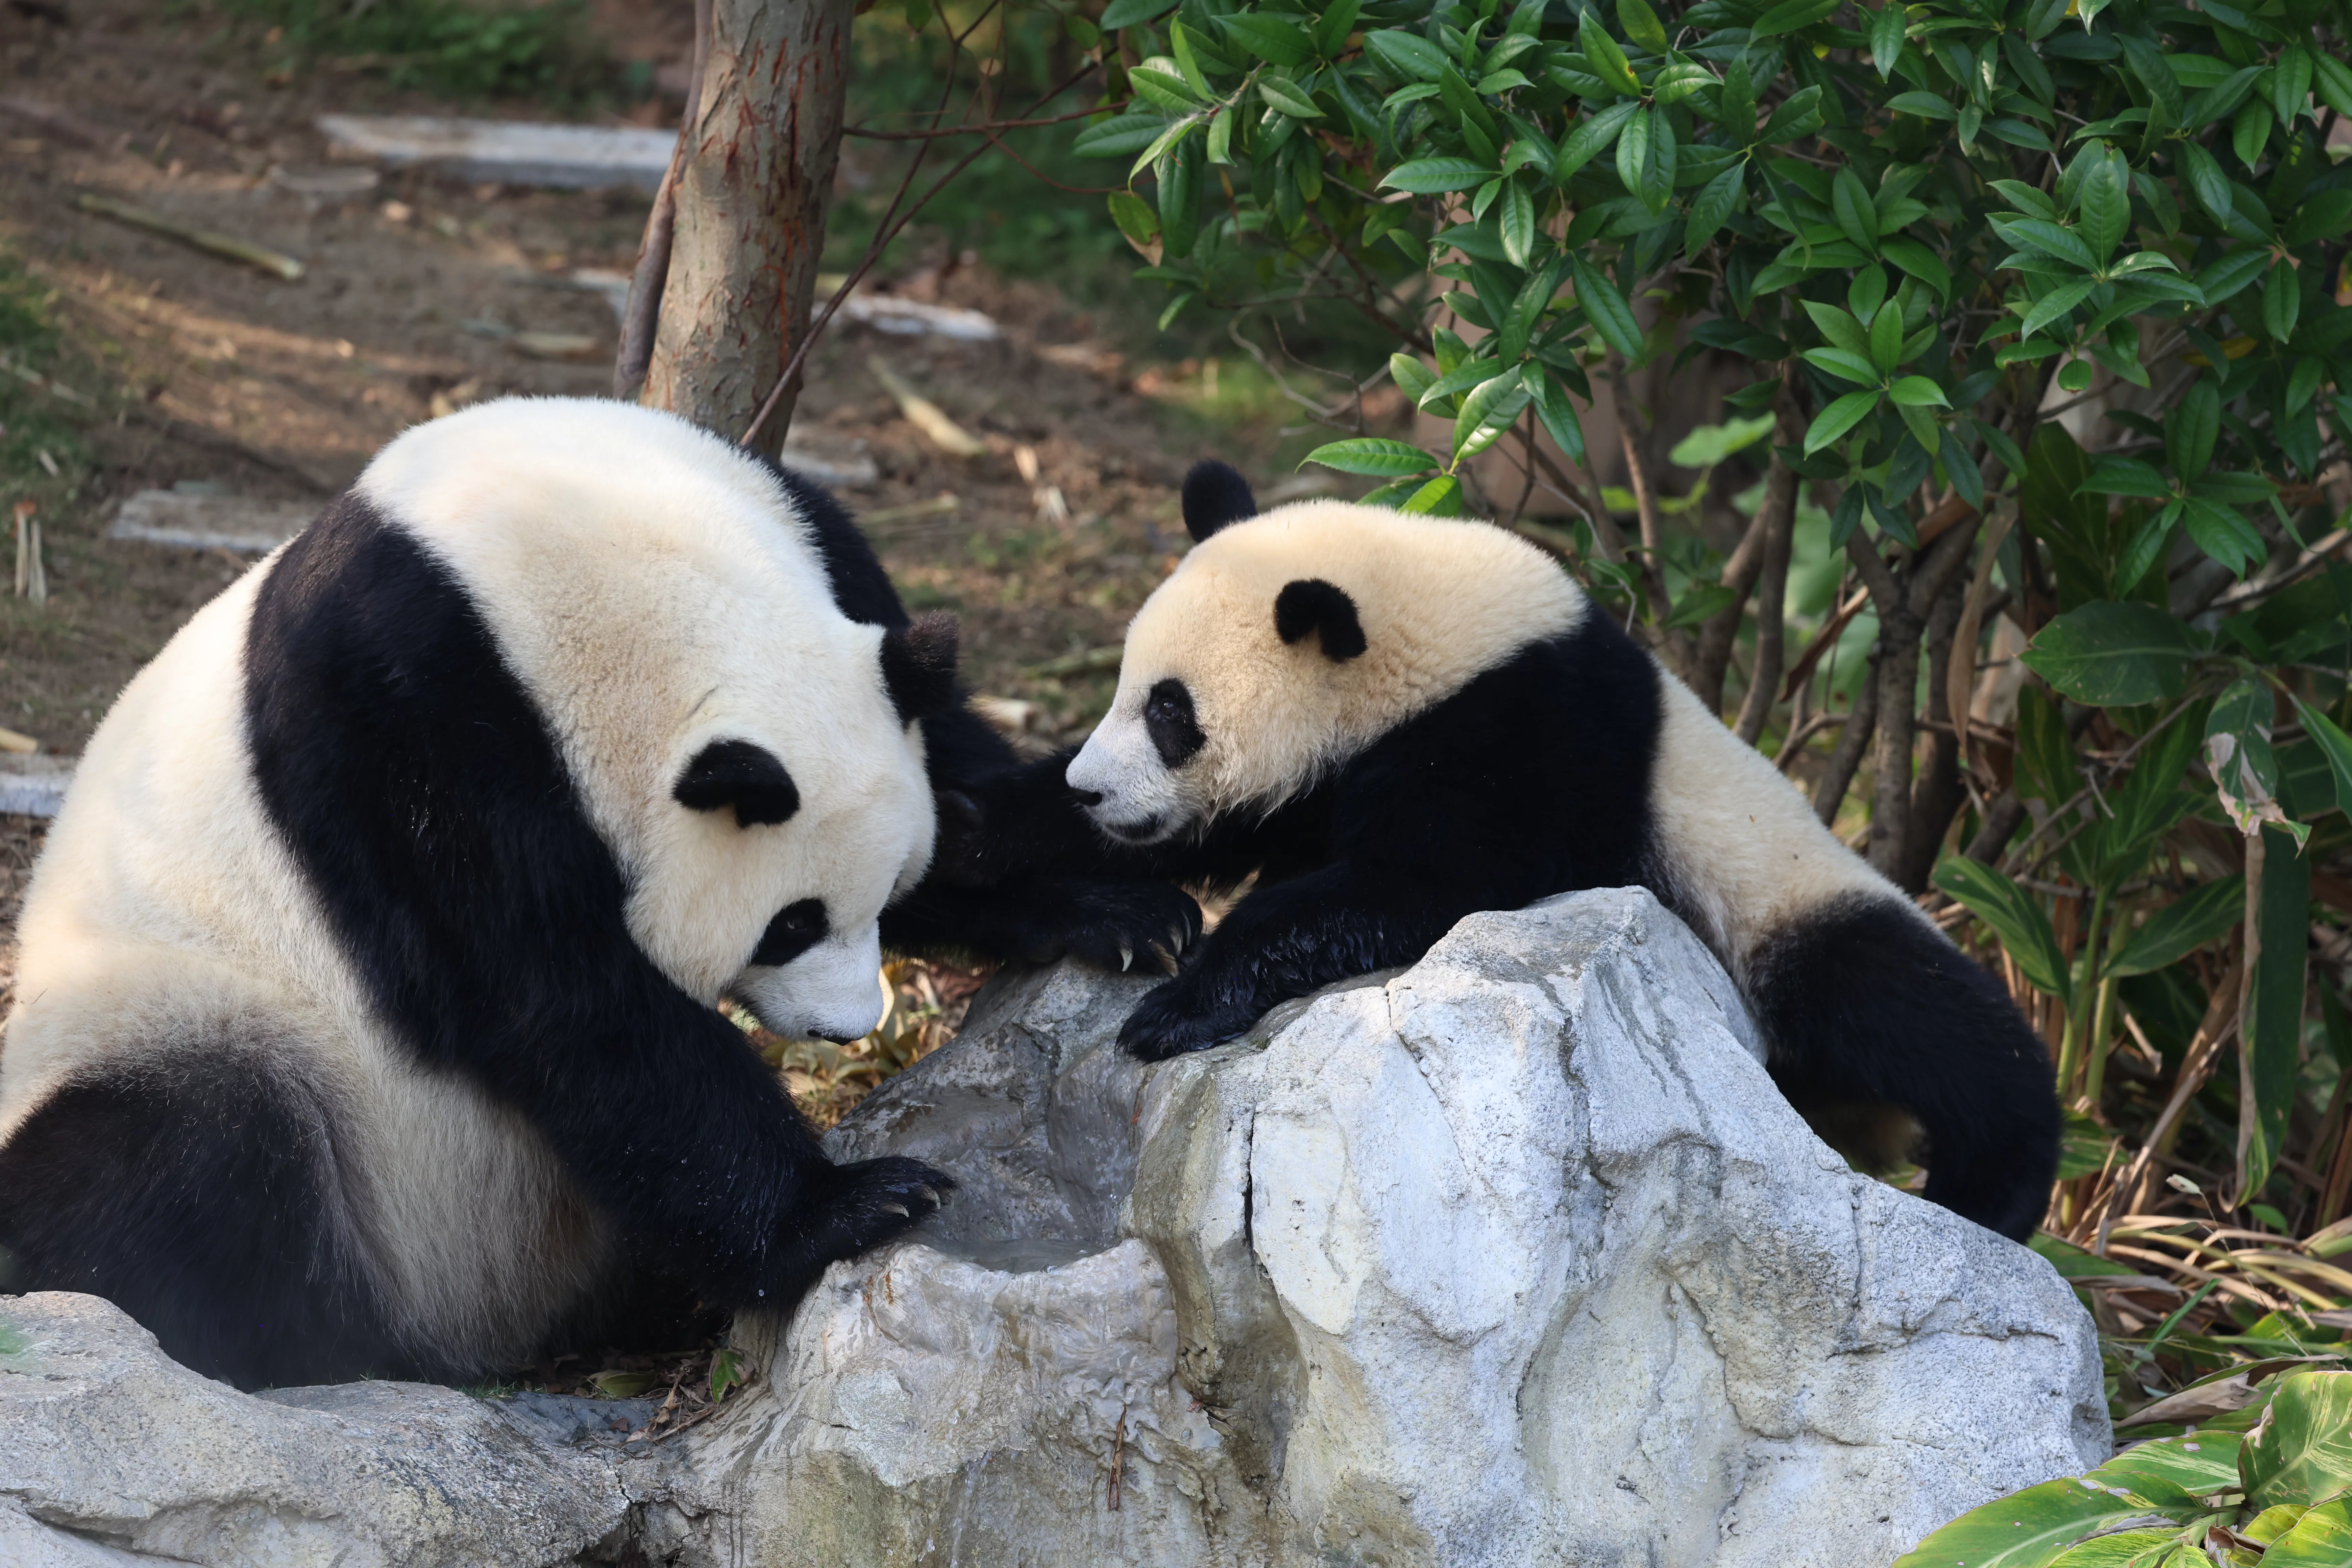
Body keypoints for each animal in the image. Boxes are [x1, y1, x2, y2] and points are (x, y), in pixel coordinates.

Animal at [0, 398, 1188, 1391]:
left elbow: (963, 784)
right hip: (187, 1025)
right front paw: (851, 1205)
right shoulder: (400, 724)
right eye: (791, 923)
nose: (852, 1029)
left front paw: (1118, 912)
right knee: (179, 1152)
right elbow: (558, 998)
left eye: (888, 892)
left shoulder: (820, 540)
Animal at [985, 461, 2059, 1242]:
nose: (1093, 786)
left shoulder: (1521, 734)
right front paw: (1074, 884)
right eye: (1124, 686)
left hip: (1782, 895)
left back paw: (1993, 1188)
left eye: (1171, 713)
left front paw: (1181, 1003)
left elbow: (1422, 884)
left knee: (1912, 1012)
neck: (1432, 643)